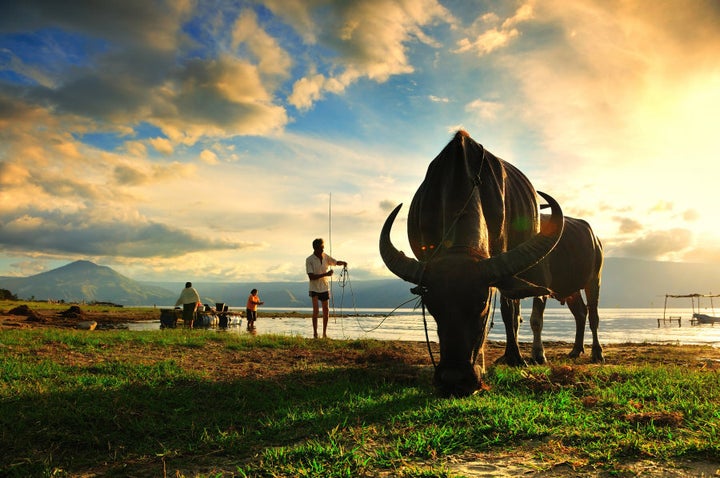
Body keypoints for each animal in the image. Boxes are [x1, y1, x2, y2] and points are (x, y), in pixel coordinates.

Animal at [376, 131, 564, 396]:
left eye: (482, 303)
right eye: (431, 305)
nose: (453, 380)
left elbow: (506, 310)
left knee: (512, 308)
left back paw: (514, 356)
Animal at [498, 216, 604, 366]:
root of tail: (596, 239)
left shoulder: (541, 287)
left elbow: (536, 321)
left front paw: (538, 354)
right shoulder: (509, 290)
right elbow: (512, 320)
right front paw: (512, 356)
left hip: (594, 279)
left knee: (593, 316)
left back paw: (597, 352)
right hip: (571, 288)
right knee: (581, 313)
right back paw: (576, 350)